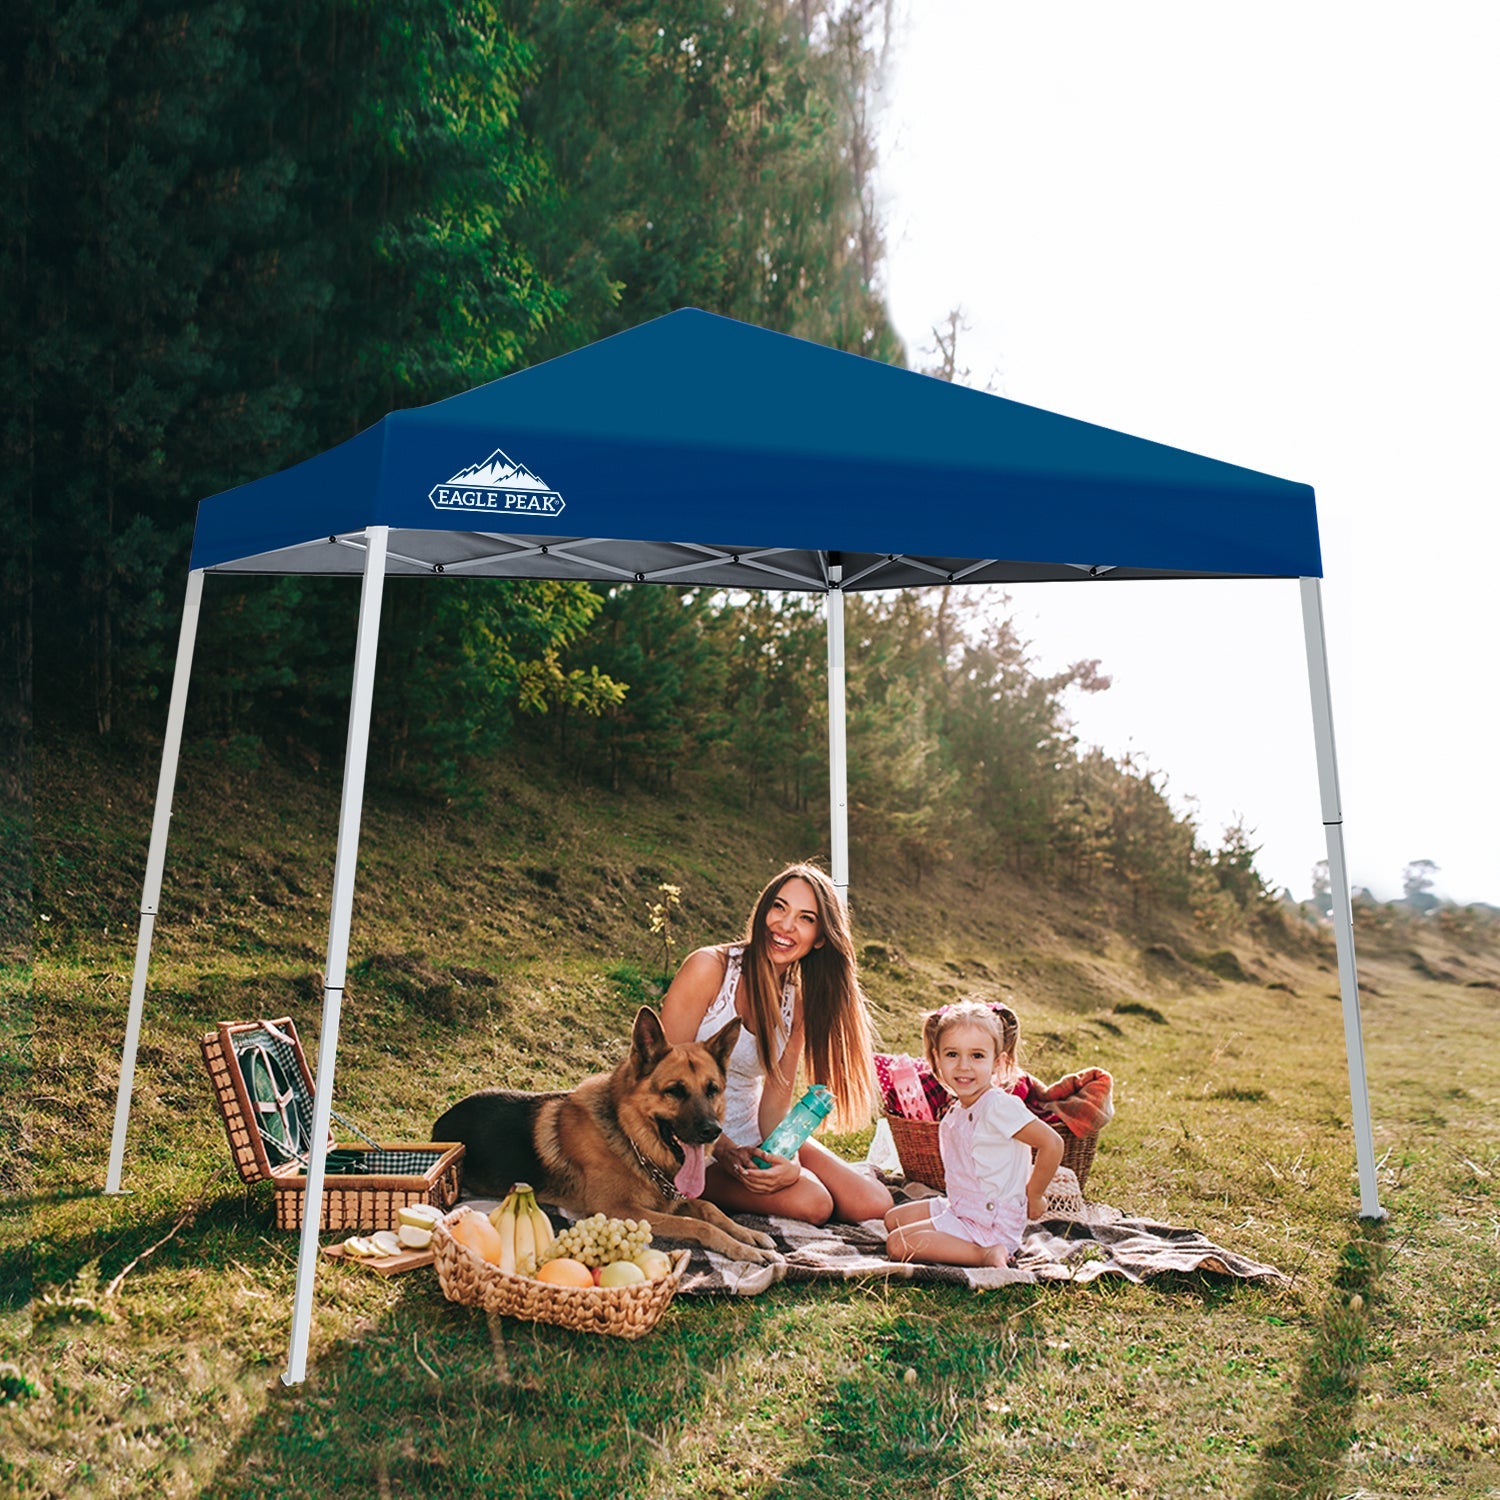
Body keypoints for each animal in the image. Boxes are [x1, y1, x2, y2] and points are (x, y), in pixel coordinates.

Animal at [432, 1008, 786, 1266]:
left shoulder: (668, 1200)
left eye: (712, 1089)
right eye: (675, 1091)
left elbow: (710, 1208)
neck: (629, 1137)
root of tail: (441, 1120)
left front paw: (748, 1235)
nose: (713, 1131)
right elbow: (696, 1223)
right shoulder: (619, 1209)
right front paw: (744, 1249)